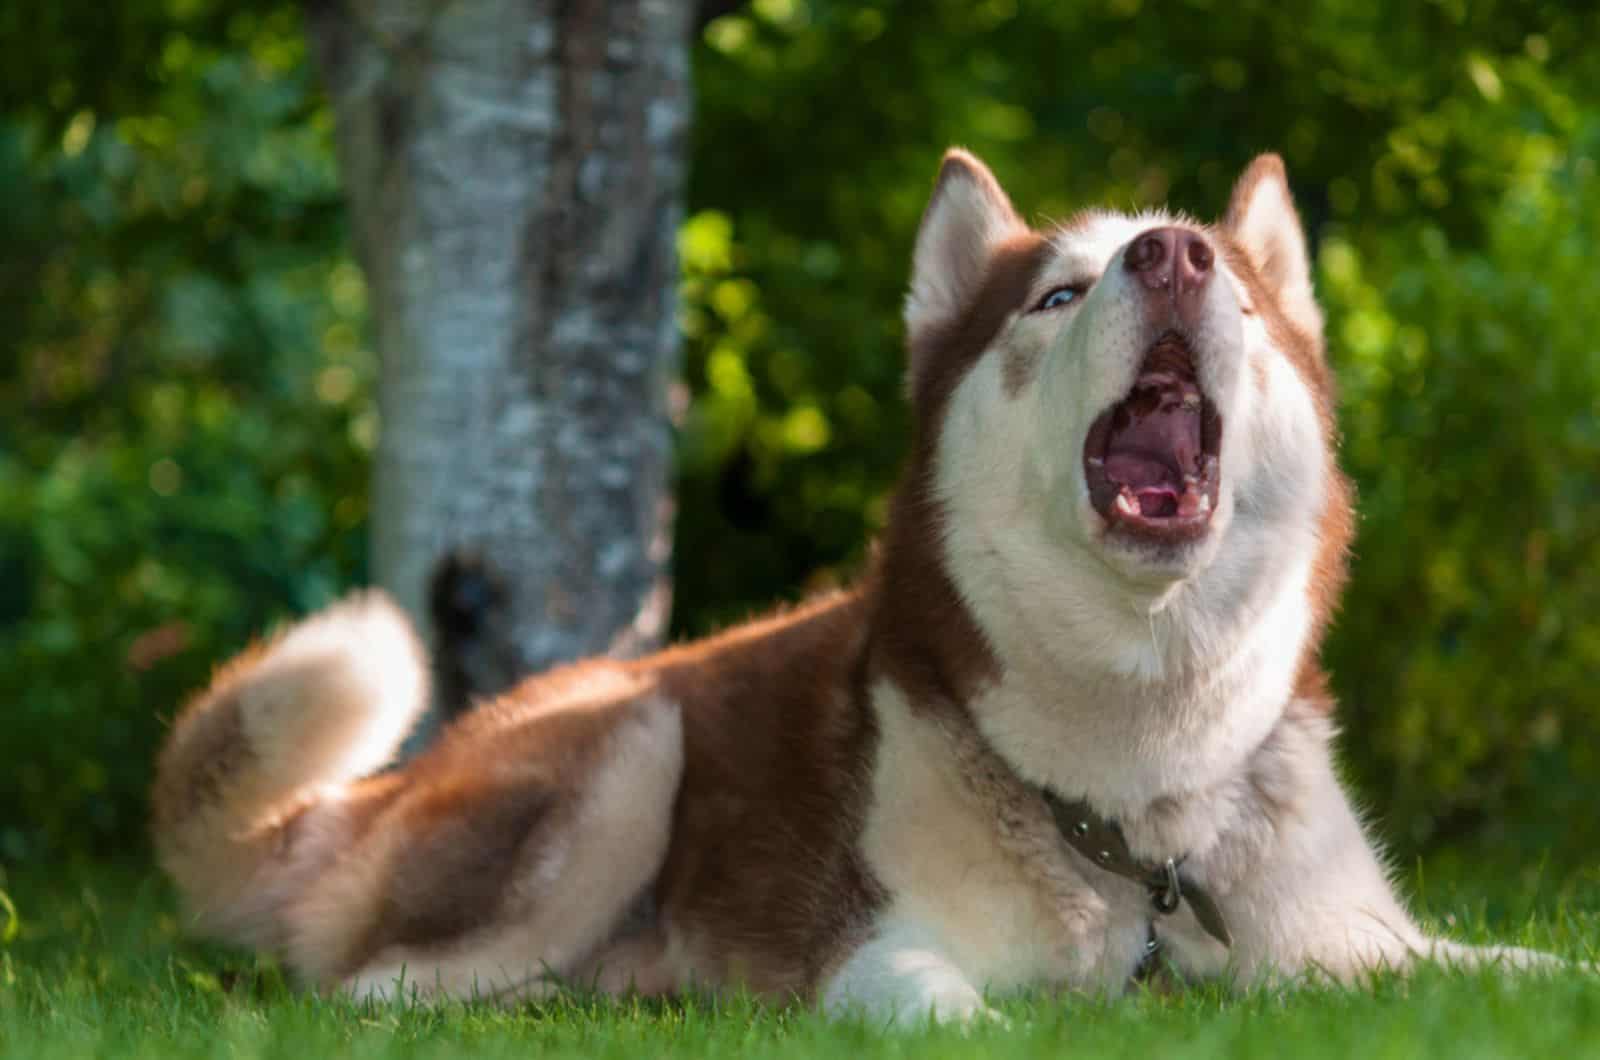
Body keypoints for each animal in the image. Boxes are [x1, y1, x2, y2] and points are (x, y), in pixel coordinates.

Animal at [156, 149, 1555, 1024]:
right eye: (1057, 292)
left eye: (1245, 302)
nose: (1170, 257)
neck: (1144, 797)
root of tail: (377, 791)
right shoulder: (873, 952)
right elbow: (950, 1004)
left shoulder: (1362, 944)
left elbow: (1527, 963)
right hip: (633, 749)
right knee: (373, 990)